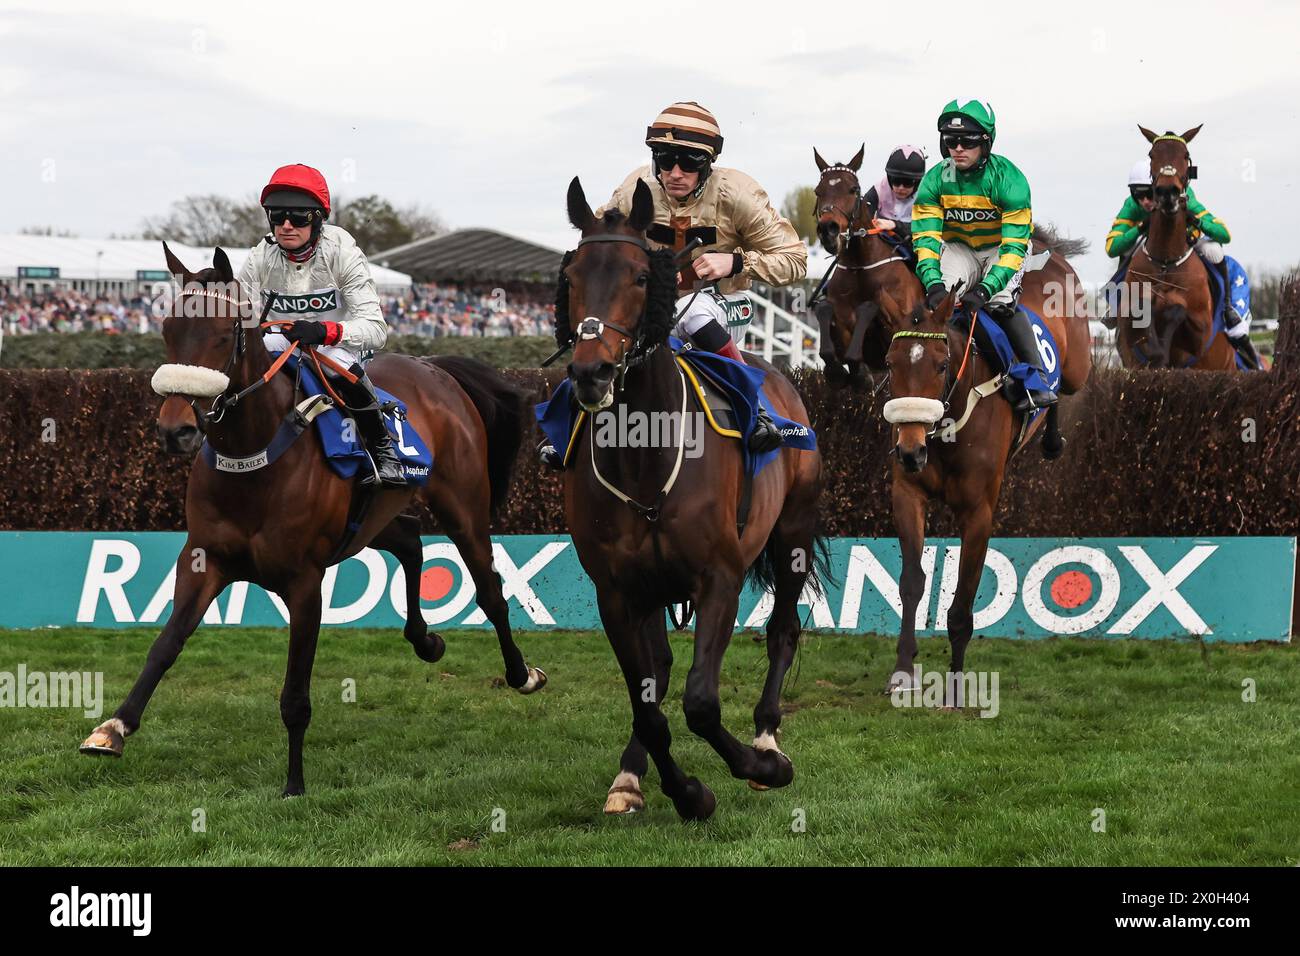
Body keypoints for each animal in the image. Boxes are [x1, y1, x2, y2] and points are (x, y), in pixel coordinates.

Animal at [79, 243, 548, 796]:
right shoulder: (204, 559)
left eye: (223, 335)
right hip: (372, 519)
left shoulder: (304, 583)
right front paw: (112, 728)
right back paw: (425, 639)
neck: (255, 459)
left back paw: (521, 673)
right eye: (169, 329)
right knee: (410, 541)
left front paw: (294, 784)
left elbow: (295, 695)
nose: (176, 430)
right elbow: (165, 646)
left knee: (490, 591)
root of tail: (436, 369)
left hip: (464, 506)